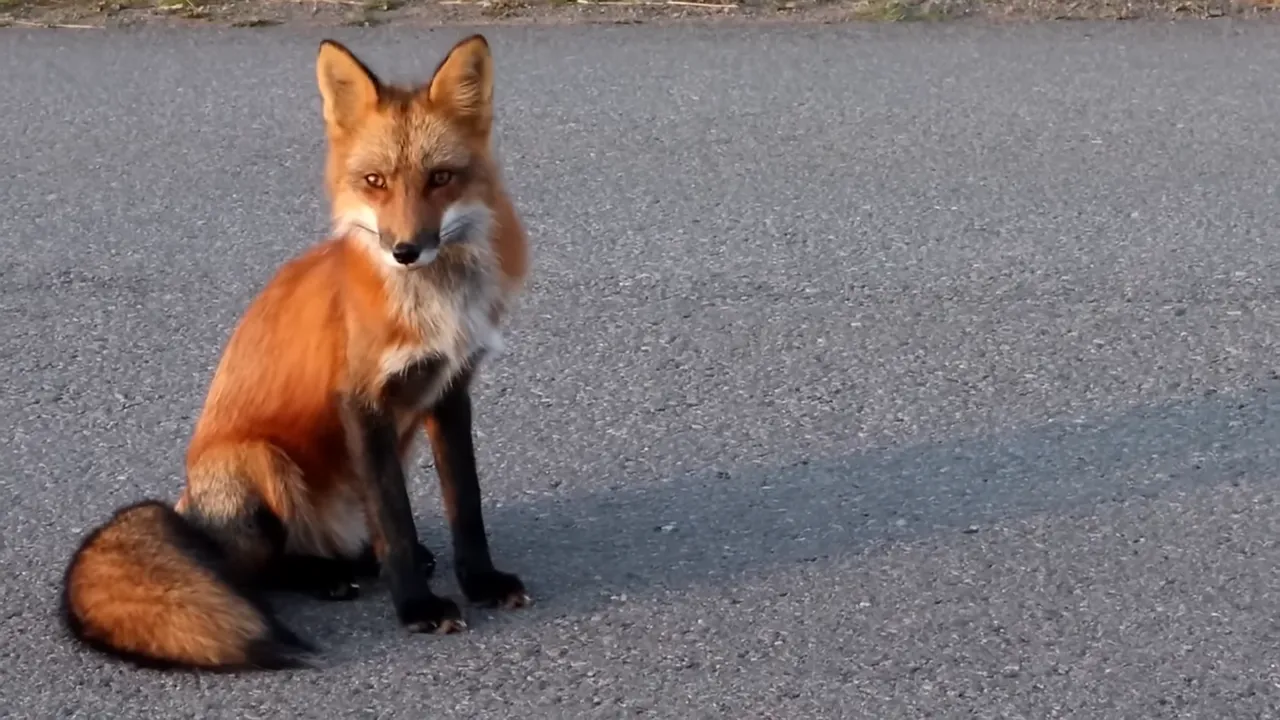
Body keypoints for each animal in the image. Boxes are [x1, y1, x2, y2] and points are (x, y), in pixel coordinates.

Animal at [58, 34, 532, 671]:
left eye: (440, 178)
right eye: (375, 181)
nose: (406, 249)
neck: (433, 301)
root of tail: (187, 512)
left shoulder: (450, 390)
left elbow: (466, 505)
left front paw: (479, 582)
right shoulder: (361, 400)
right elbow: (396, 520)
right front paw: (416, 607)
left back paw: (359, 563)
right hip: (262, 460)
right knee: (250, 568)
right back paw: (323, 576)